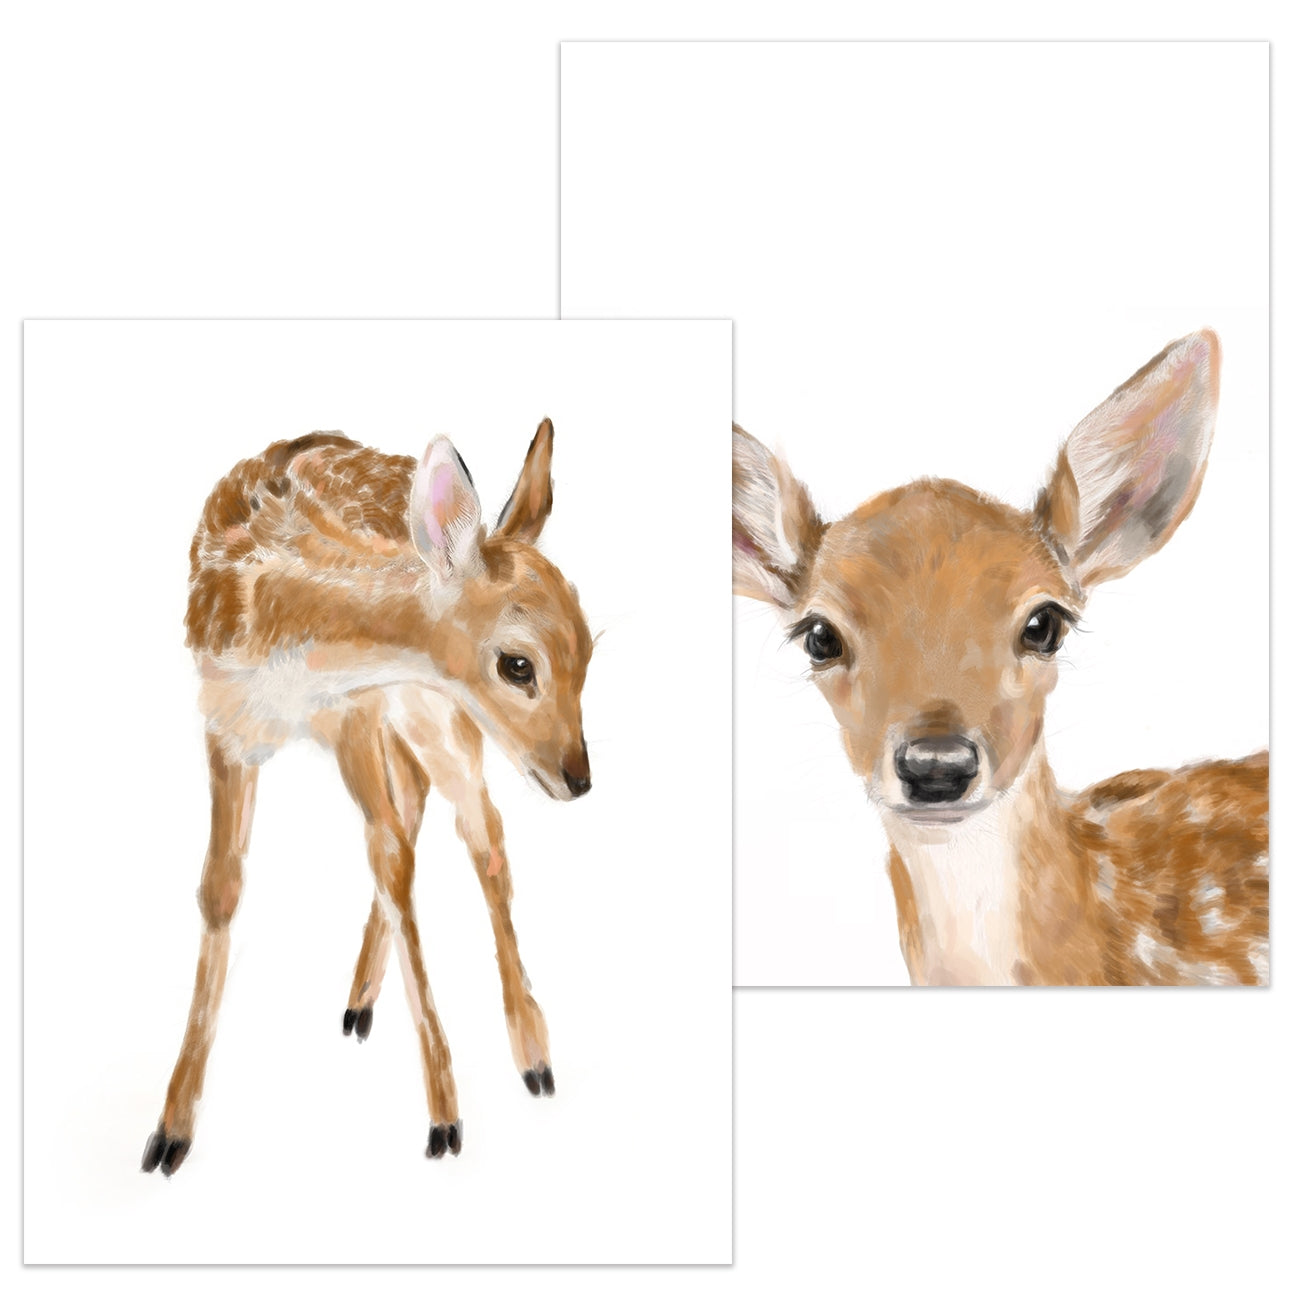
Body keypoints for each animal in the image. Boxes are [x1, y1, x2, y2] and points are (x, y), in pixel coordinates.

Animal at [141, 418, 592, 1176]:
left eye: (589, 654)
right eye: (518, 664)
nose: (579, 777)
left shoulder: (357, 707)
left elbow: (394, 861)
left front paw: (446, 1119)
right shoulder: (228, 723)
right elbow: (220, 888)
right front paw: (170, 1130)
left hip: (433, 715)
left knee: (479, 833)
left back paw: (533, 1057)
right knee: (418, 813)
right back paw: (360, 1003)